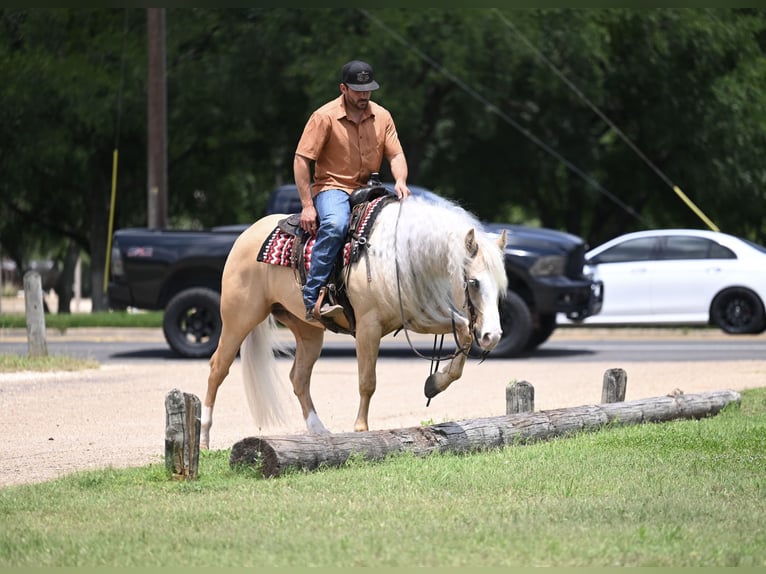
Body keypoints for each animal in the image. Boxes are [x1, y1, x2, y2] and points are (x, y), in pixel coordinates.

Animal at [200, 194, 508, 449]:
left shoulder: (417, 317)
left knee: (298, 377)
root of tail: (246, 235)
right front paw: (361, 429)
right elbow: (367, 381)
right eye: (473, 282)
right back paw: (203, 439)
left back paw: (320, 432)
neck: (396, 253)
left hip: (307, 330)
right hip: (239, 319)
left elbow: (463, 334)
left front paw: (434, 383)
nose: (492, 336)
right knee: (217, 368)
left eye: (500, 286)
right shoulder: (368, 327)